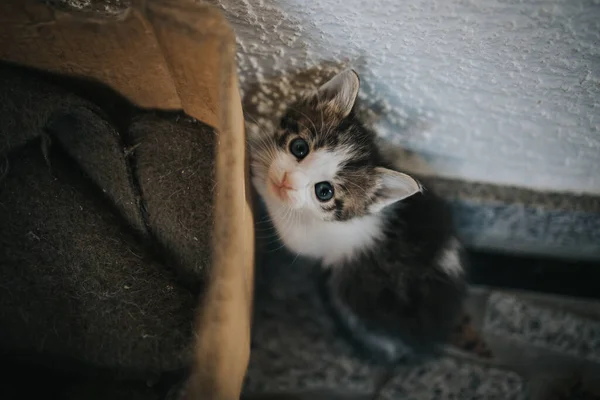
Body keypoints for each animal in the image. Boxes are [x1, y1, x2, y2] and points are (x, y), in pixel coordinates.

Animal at [248, 69, 468, 366]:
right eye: (299, 148)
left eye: (324, 191)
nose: (286, 181)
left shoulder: (316, 238)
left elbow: (287, 227)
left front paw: (256, 165)